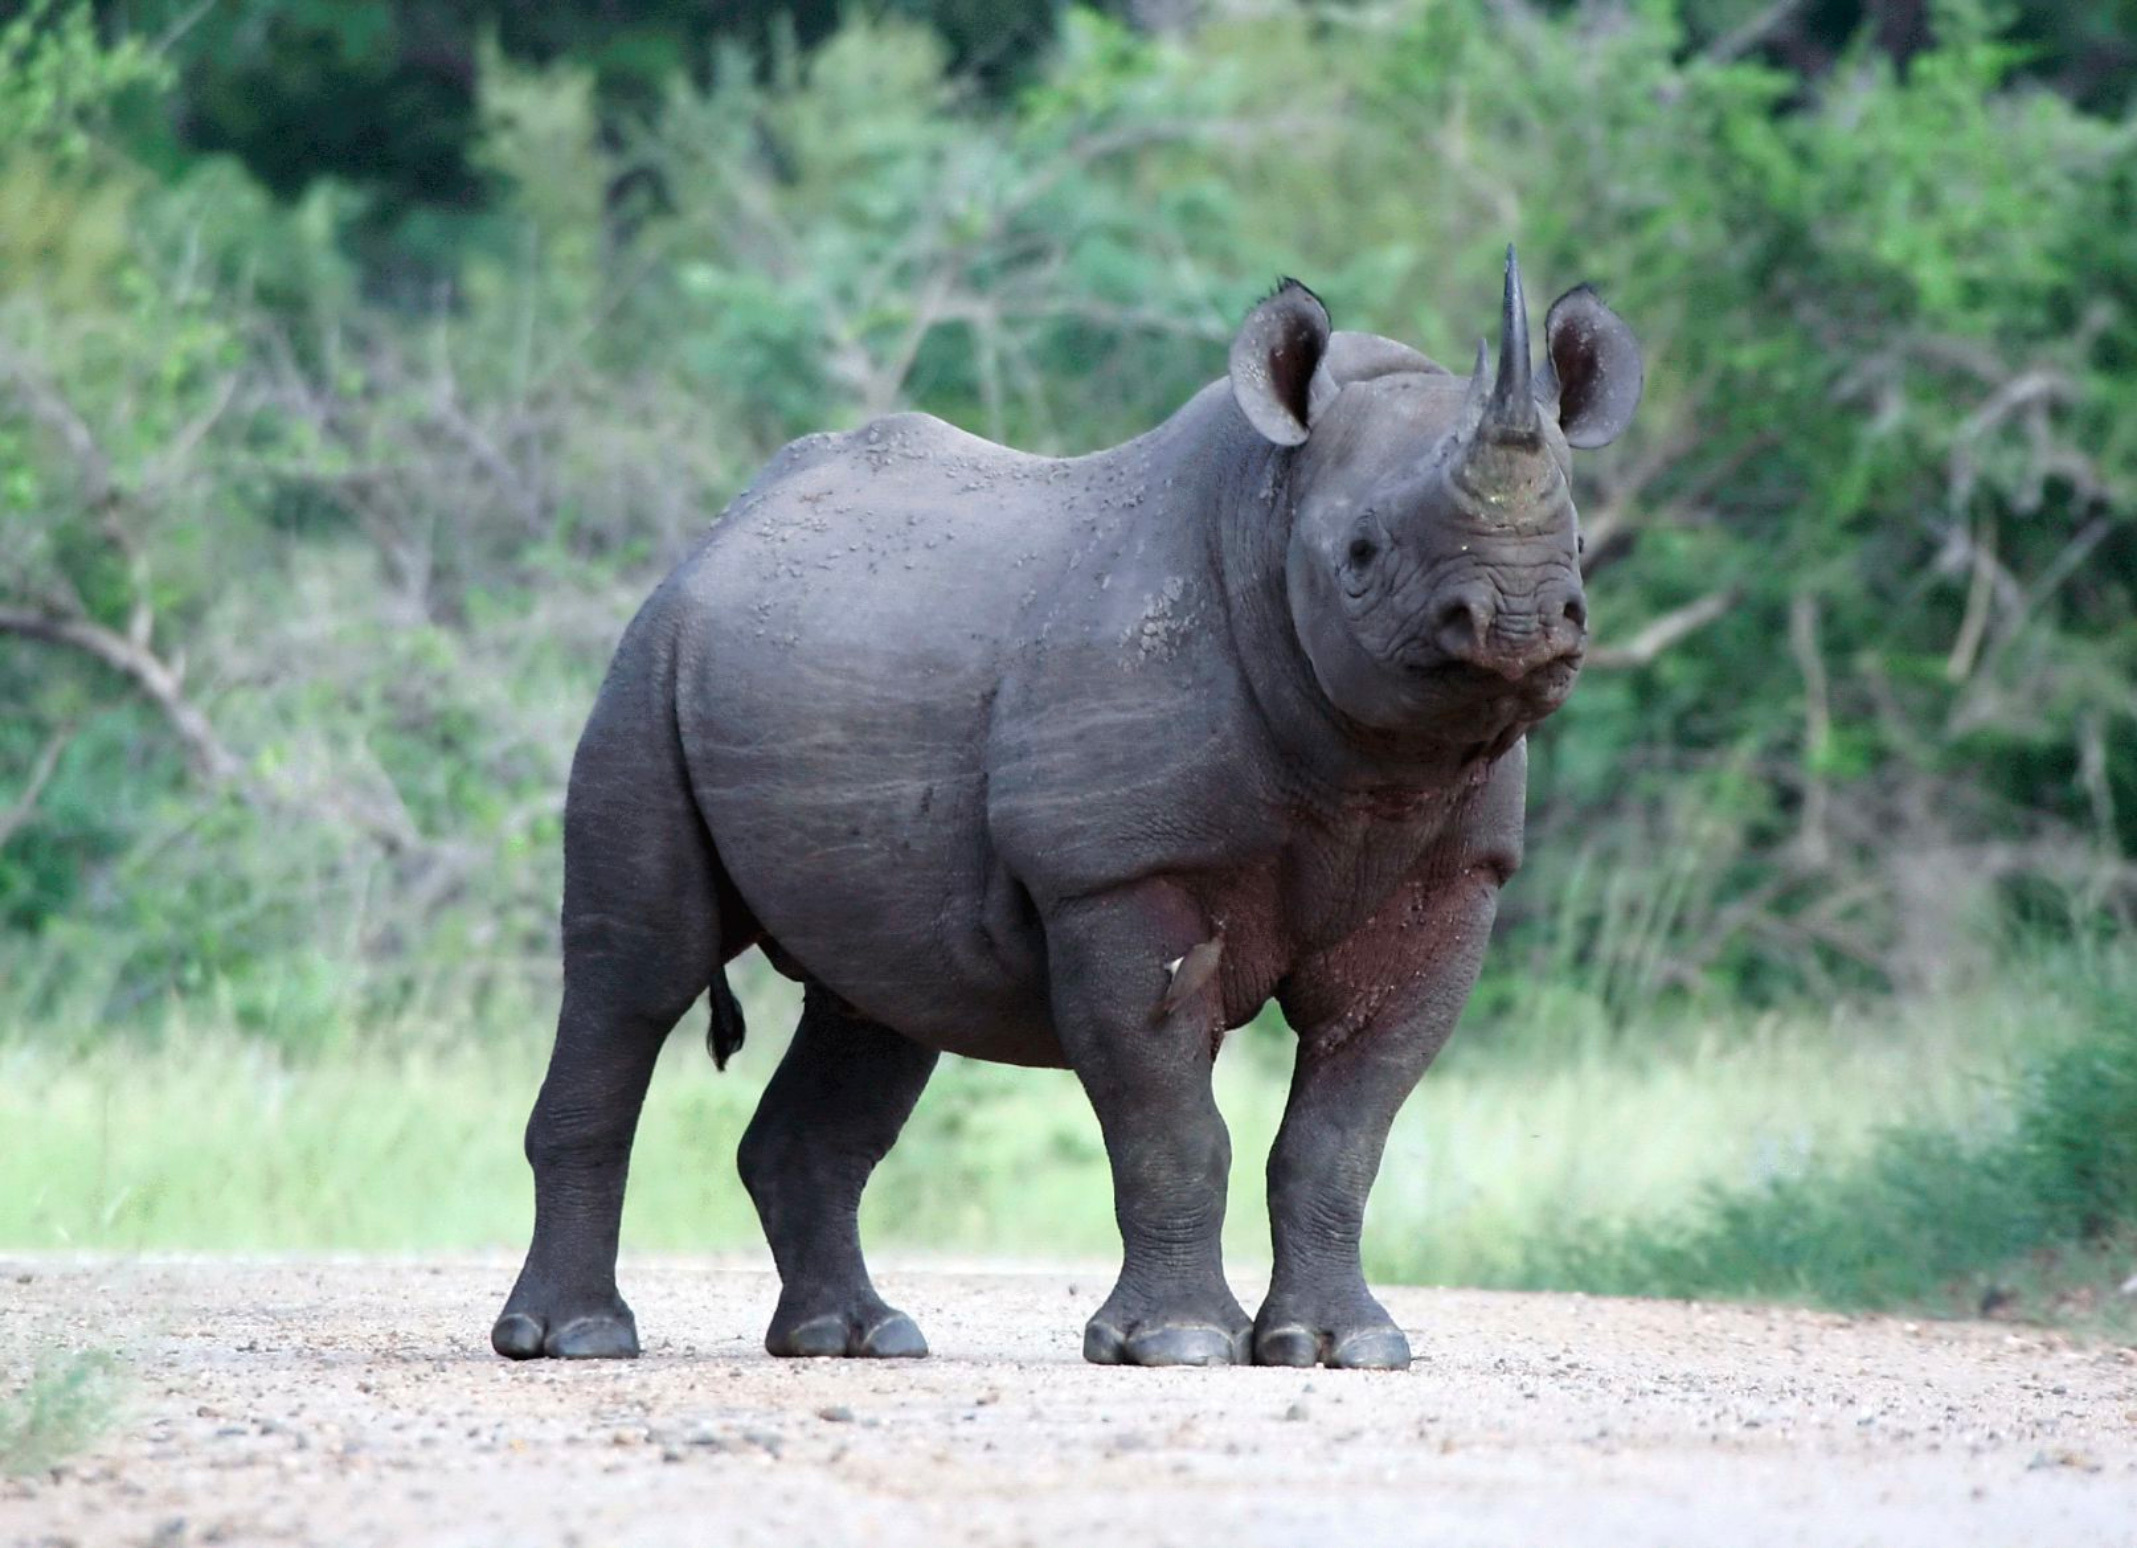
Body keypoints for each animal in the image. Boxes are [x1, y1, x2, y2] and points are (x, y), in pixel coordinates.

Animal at [492, 250, 1641, 1369]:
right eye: (1359, 554)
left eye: (1578, 545)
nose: (1519, 618)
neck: (1268, 511)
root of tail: (713, 538)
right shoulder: (1114, 872)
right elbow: (1170, 1119)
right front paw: (1177, 1345)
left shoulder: (1451, 877)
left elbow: (1344, 1128)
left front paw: (1344, 1346)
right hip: (646, 670)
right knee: (636, 974)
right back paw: (576, 1341)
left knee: (875, 1004)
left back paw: (854, 1340)